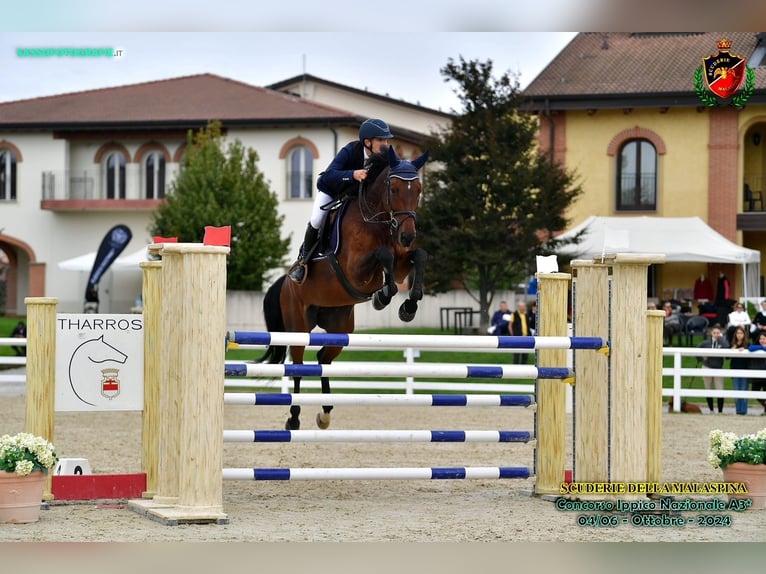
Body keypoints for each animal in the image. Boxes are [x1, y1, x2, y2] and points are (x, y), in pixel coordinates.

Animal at [256, 146, 426, 430]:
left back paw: (325, 412)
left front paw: (408, 307)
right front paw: (382, 296)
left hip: (340, 326)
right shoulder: (354, 270)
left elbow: (418, 256)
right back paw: (294, 418)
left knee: (323, 359)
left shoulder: (403, 261)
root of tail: (285, 282)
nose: (407, 235)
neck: (376, 219)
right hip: (298, 325)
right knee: (299, 365)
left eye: (419, 190)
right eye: (394, 190)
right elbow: (384, 256)